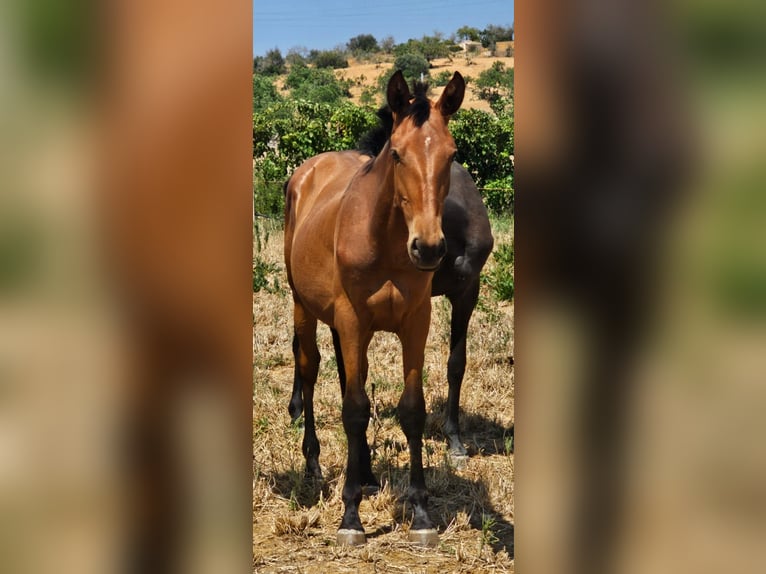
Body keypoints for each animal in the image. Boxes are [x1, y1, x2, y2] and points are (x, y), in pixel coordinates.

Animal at [284, 70, 468, 548]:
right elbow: (353, 410)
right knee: (310, 371)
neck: (384, 240)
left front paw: (421, 513)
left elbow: (411, 409)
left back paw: (365, 472)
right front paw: (350, 517)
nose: (428, 247)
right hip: (303, 307)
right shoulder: (352, 320)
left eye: (451, 154)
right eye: (398, 154)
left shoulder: (415, 323)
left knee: (350, 374)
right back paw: (314, 464)